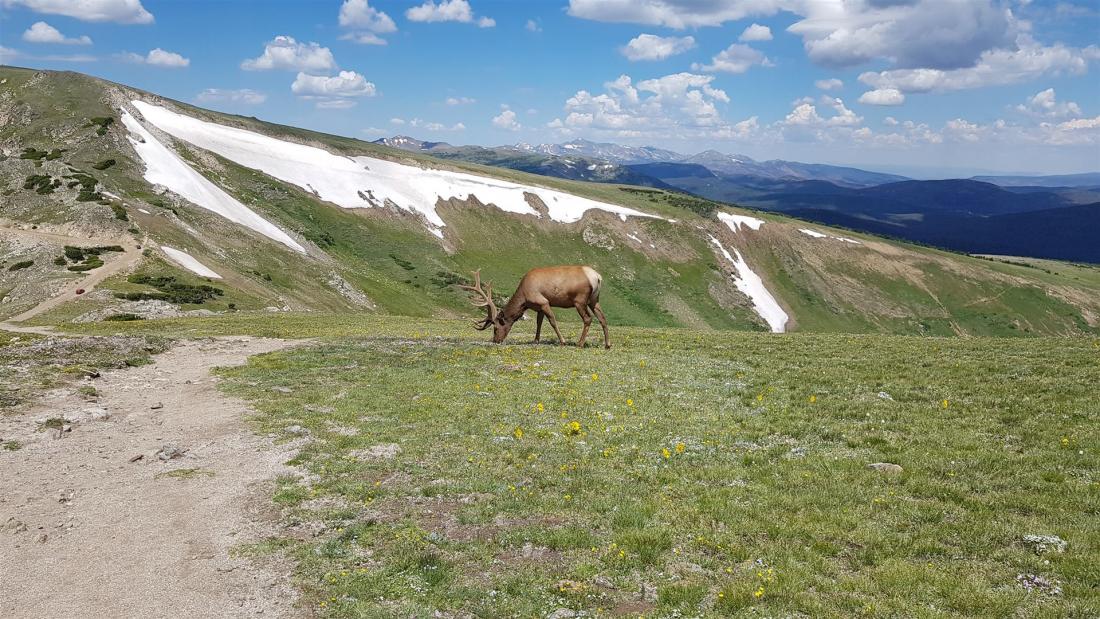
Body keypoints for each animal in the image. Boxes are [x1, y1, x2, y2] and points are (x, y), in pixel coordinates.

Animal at [460, 266, 611, 348]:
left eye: (495, 328)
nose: (496, 341)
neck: (524, 299)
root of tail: (597, 277)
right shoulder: (538, 307)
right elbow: (539, 323)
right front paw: (536, 340)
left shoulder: (543, 301)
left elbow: (552, 321)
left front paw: (562, 341)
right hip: (594, 299)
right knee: (603, 318)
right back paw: (607, 344)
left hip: (580, 300)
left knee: (588, 318)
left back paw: (580, 343)